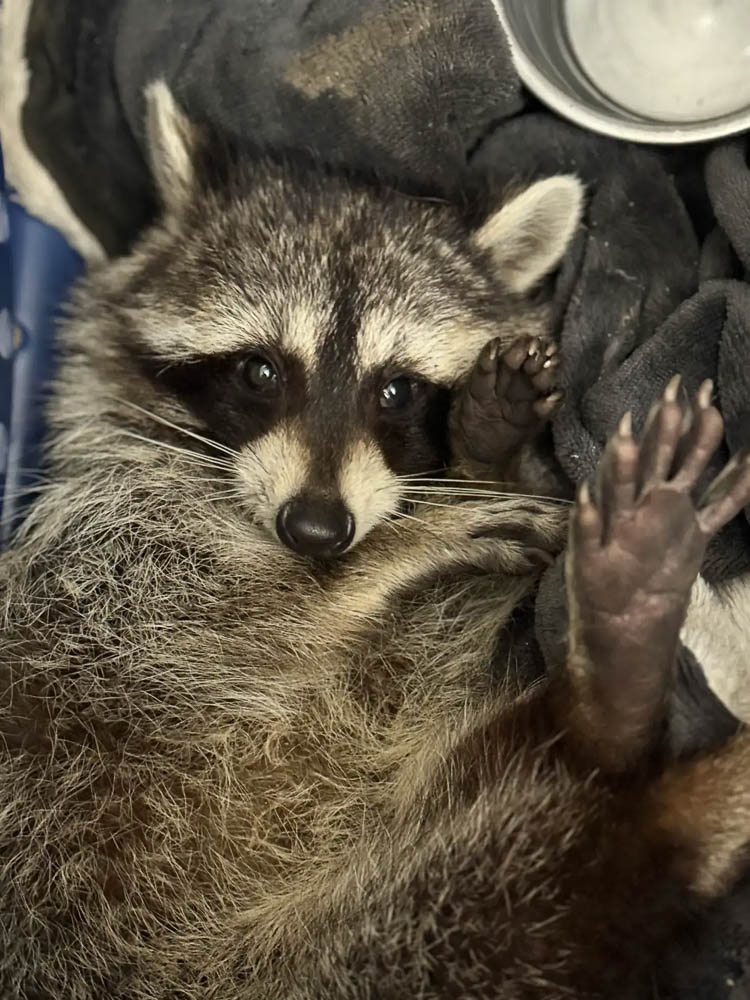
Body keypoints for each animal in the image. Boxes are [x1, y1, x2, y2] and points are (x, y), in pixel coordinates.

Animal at [2, 82, 750, 1000]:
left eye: (396, 390)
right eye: (260, 372)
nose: (318, 529)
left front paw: (486, 449)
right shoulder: (120, 522)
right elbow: (244, 603)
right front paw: (400, 547)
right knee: (561, 879)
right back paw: (636, 713)